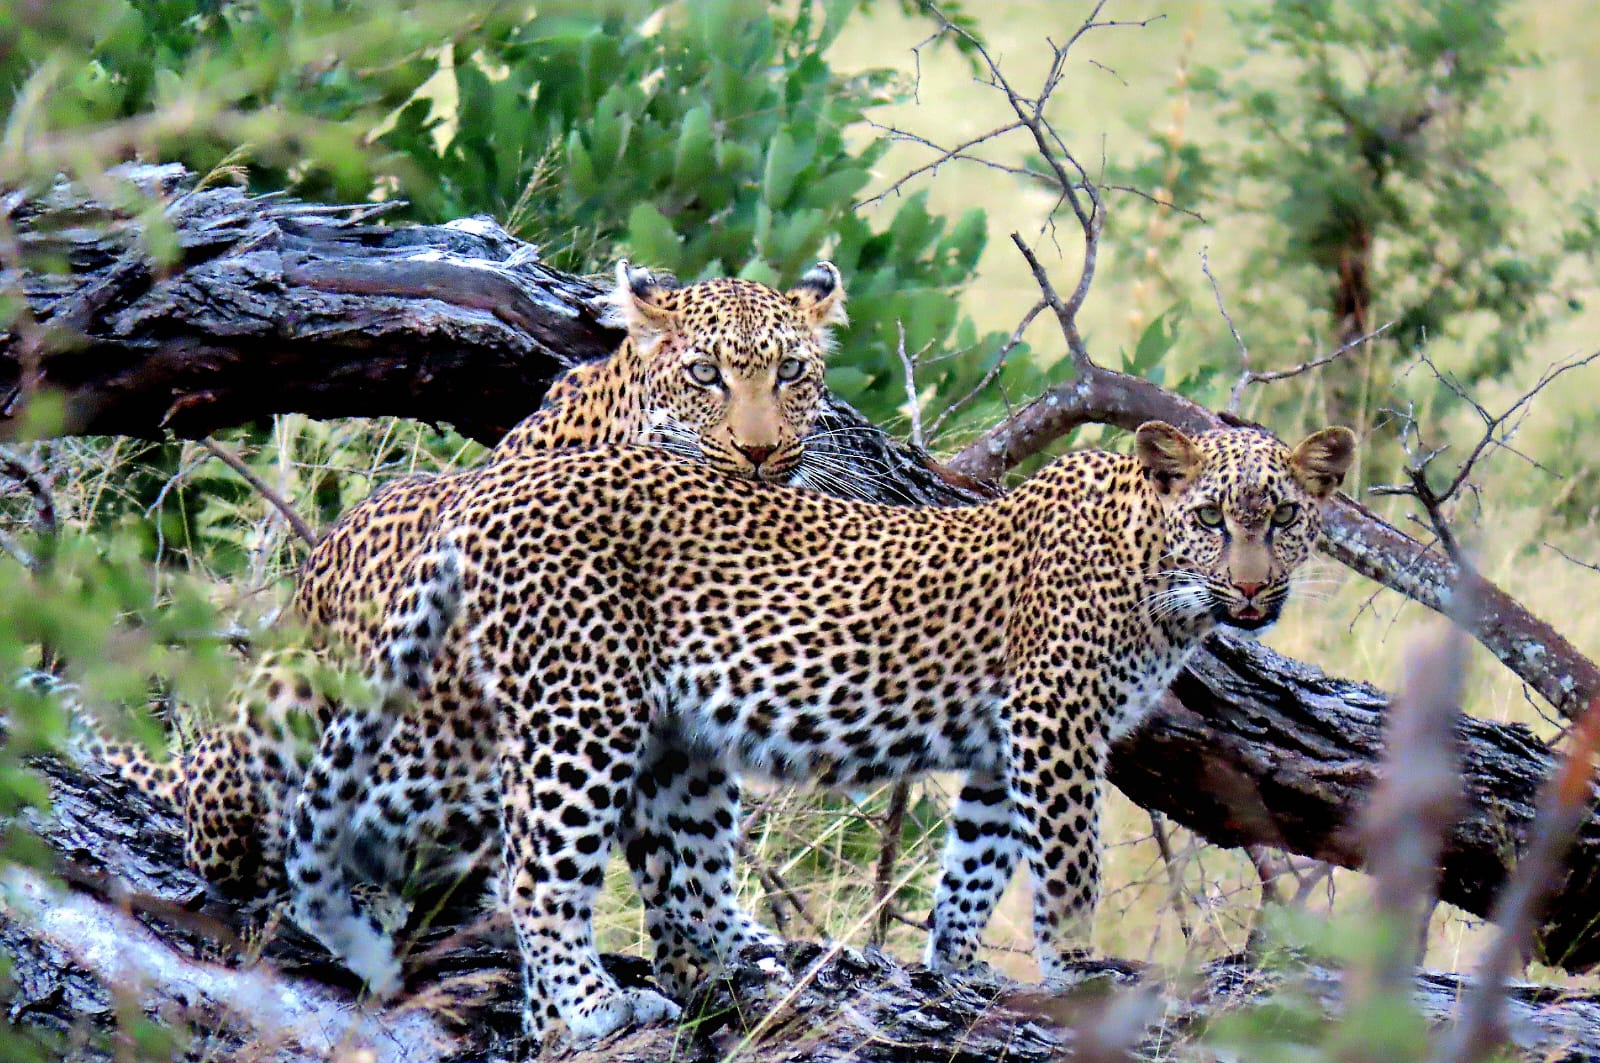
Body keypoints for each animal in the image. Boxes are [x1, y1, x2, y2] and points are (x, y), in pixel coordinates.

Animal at [301, 417, 1354, 1041]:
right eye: (1212, 519)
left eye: (1283, 518)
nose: (1254, 591)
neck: (1158, 580)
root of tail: (481, 487)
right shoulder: (1054, 723)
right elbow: (1067, 864)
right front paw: (1073, 974)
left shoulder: (998, 745)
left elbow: (976, 865)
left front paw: (956, 970)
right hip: (580, 708)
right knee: (533, 867)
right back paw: (595, 1004)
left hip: (667, 737)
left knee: (668, 871)